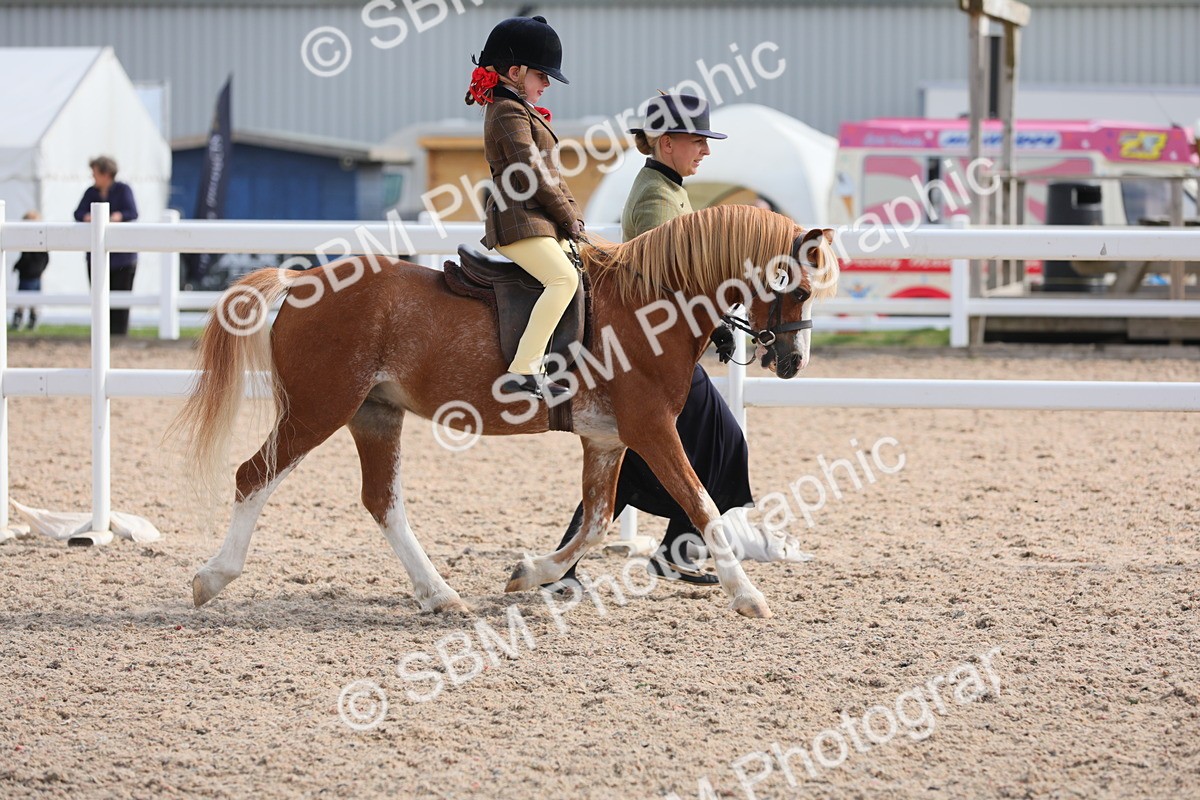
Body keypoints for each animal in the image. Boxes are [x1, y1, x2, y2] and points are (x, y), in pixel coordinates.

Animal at [172, 205, 839, 619]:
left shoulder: (608, 440)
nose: (794, 362)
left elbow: (597, 522)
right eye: (802, 289)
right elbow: (701, 505)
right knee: (253, 477)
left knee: (383, 502)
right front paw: (747, 595)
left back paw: (439, 595)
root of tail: (300, 282)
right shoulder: (651, 430)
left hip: (375, 416)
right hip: (319, 410)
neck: (650, 303)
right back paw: (213, 577)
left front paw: (530, 572)